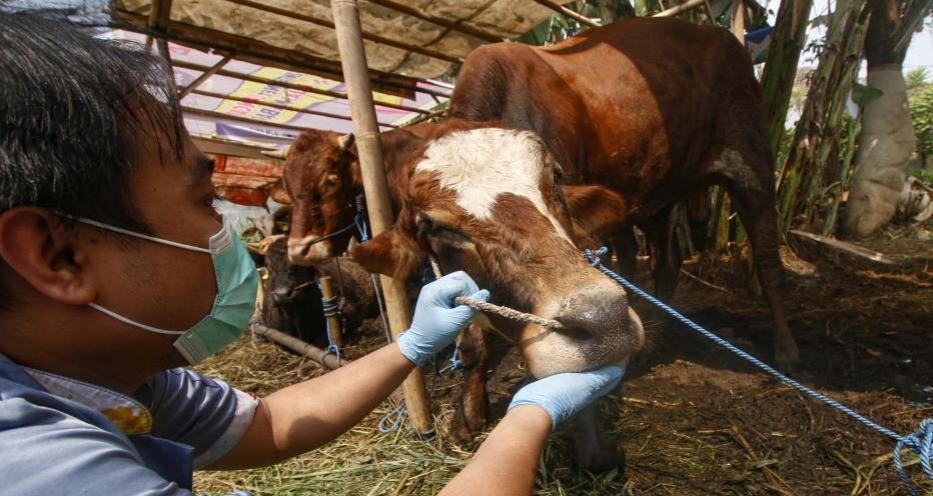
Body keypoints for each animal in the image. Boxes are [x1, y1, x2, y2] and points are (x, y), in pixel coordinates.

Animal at [354, 118, 644, 470]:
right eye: (434, 226)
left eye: (556, 178)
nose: (606, 321)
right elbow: (472, 348)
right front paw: (467, 418)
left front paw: (595, 451)